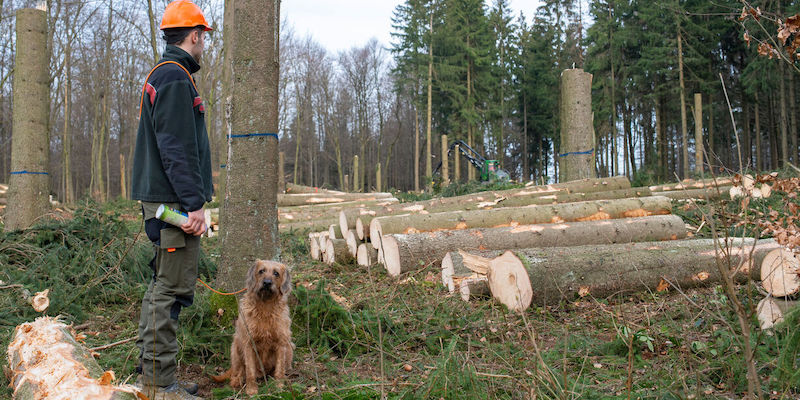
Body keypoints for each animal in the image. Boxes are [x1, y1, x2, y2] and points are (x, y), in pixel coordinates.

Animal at [212, 260, 294, 396]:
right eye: (261, 271)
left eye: (276, 273)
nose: (267, 283)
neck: (265, 307)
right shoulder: (249, 344)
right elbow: (250, 371)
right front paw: (251, 390)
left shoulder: (281, 343)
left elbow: (279, 369)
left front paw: (279, 387)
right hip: (235, 348)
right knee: (238, 371)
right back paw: (237, 381)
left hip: (290, 347)